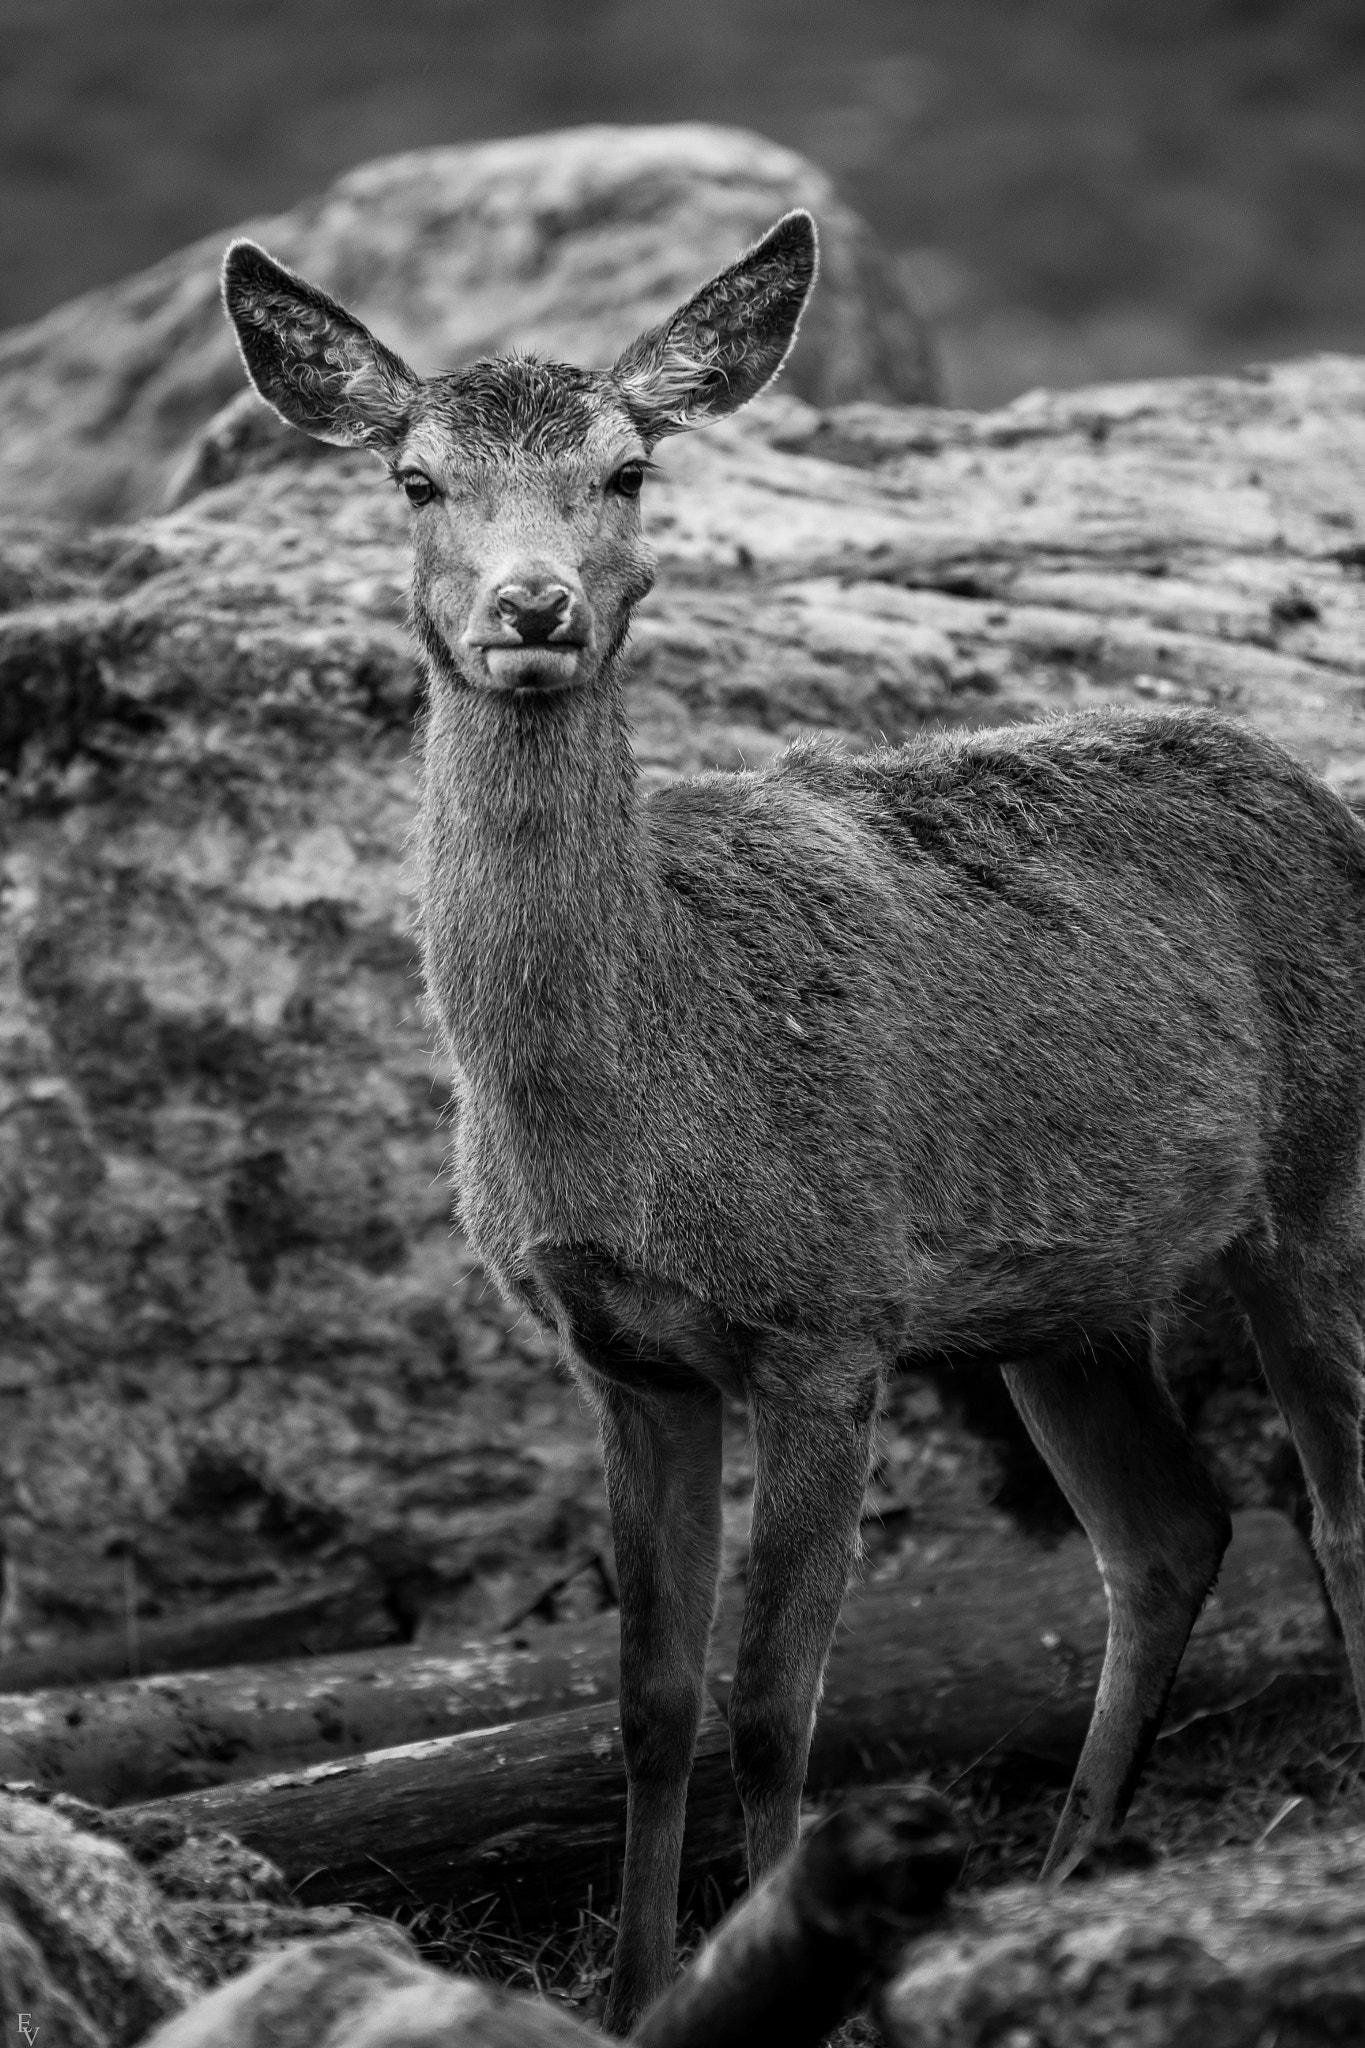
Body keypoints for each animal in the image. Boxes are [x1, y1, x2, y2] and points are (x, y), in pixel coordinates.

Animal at [222, 210, 1365, 2033]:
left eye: (627, 469)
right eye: (414, 478)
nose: (533, 604)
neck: (635, 1103)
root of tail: (1327, 794)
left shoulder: (829, 1322)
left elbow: (774, 1705)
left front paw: (778, 1955)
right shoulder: (623, 1357)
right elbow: (647, 1702)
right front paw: (635, 1992)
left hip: (1314, 1184)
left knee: (1333, 1501)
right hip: (1058, 1295)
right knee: (1173, 1529)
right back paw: (1060, 1869)